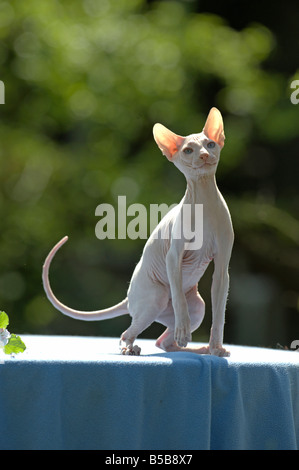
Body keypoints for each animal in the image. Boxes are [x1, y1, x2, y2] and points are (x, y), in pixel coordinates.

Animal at [42, 107, 234, 356]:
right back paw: (131, 348)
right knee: (131, 331)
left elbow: (219, 313)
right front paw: (185, 332)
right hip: (157, 296)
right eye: (188, 151)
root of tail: (128, 298)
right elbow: (179, 298)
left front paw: (216, 348)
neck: (205, 203)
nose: (203, 155)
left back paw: (198, 349)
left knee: (164, 342)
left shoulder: (222, 267)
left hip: (195, 306)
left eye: (210, 144)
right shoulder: (174, 256)